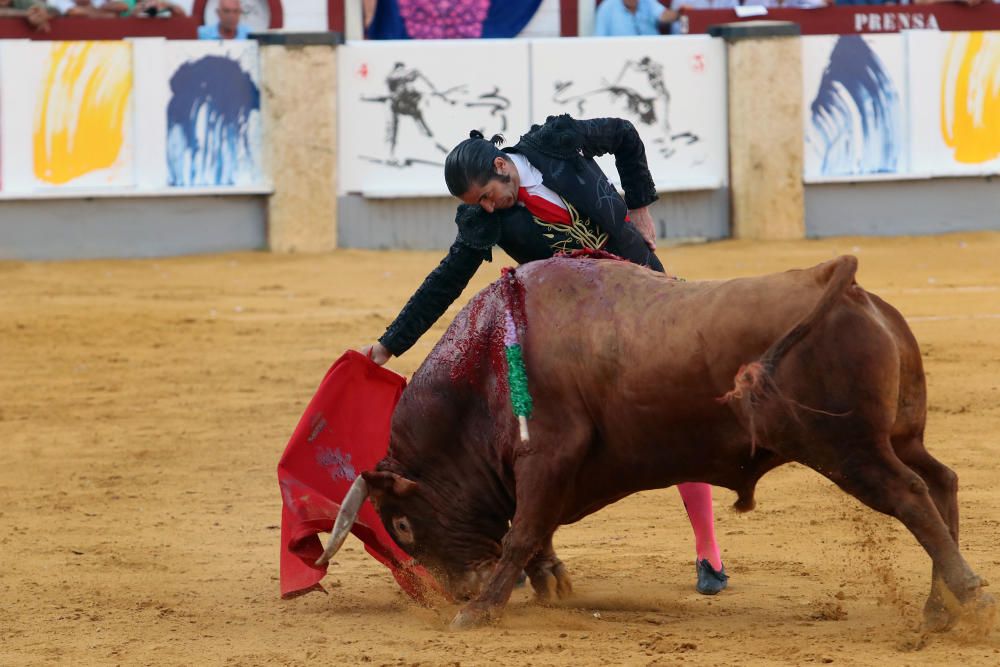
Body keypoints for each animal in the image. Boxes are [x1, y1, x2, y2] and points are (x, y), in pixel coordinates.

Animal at [316, 256, 988, 632]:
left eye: (403, 526)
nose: (455, 591)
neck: (486, 361)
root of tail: (843, 286)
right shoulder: (546, 470)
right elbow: (532, 530)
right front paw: (546, 585)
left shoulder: (547, 453)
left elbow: (522, 531)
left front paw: (478, 613)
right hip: (898, 435)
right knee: (942, 481)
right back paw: (939, 609)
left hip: (849, 448)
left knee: (911, 496)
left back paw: (967, 594)